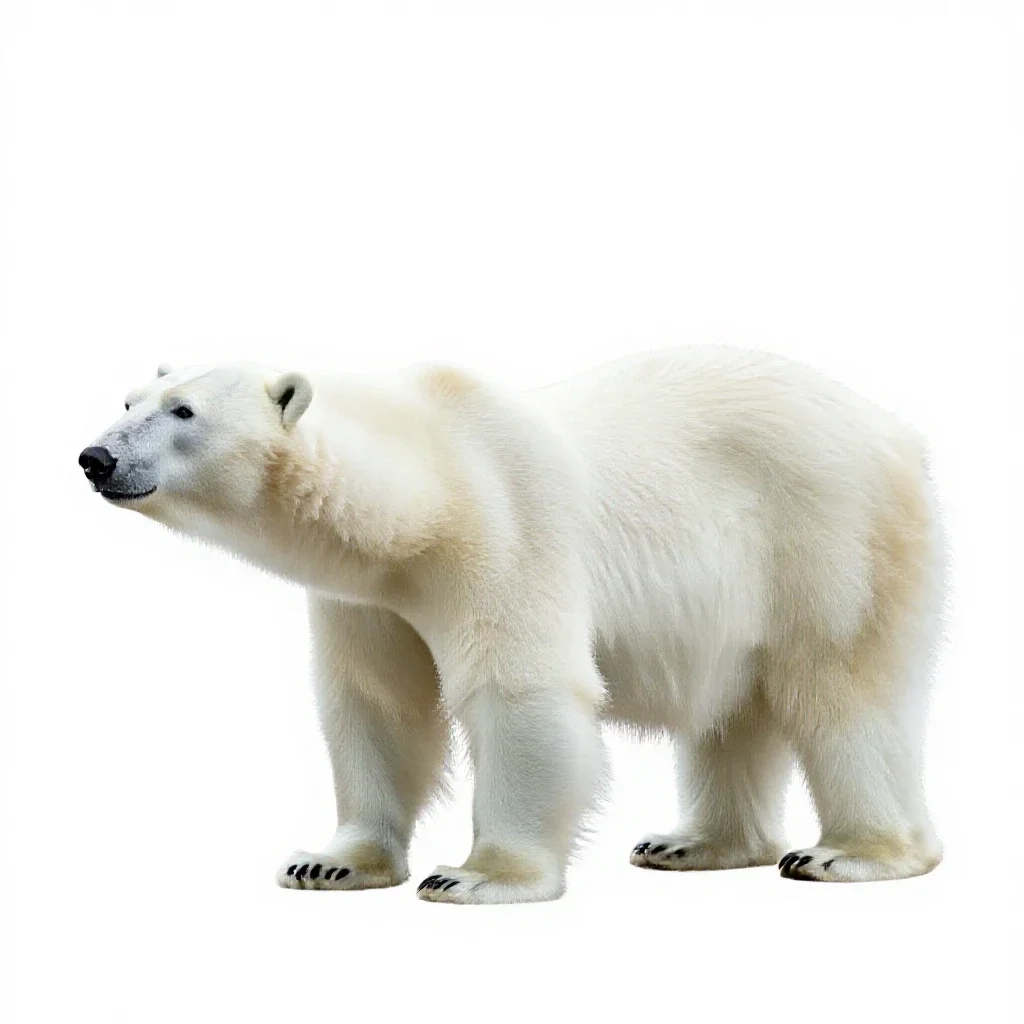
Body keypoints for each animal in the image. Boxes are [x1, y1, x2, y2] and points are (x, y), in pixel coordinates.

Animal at [79, 347, 945, 903]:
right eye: (126, 401)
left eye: (183, 411)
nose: (95, 457)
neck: (425, 492)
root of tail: (899, 433)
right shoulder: (367, 597)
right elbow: (377, 705)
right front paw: (331, 864)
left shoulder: (505, 531)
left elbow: (521, 694)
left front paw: (476, 874)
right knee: (735, 711)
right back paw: (693, 843)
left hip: (828, 537)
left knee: (840, 690)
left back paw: (851, 854)